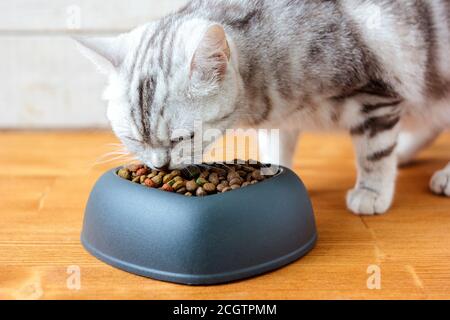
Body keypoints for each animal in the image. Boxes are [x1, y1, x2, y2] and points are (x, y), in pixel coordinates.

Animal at [75, 0, 450, 216]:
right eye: (133, 139)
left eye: (183, 138)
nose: (159, 165)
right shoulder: (280, 119)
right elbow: (275, 149)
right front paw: (272, 171)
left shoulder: (373, 95)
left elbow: (373, 154)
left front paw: (371, 192)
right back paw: (405, 152)